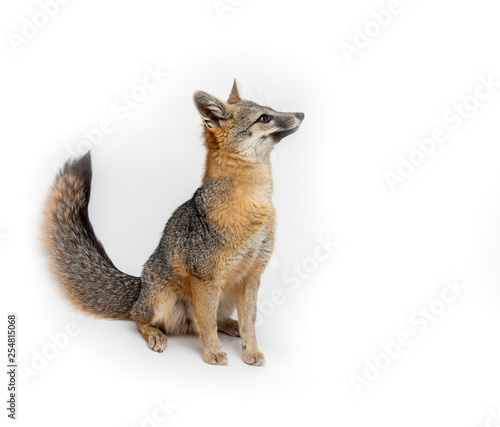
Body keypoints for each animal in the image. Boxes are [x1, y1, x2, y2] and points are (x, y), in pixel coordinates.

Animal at [45, 82, 304, 366]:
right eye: (264, 118)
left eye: (271, 110)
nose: (301, 114)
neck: (255, 202)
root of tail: (140, 286)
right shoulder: (205, 276)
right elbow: (207, 323)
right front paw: (212, 353)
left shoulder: (252, 274)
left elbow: (250, 322)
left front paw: (251, 352)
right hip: (165, 300)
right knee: (143, 320)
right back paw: (156, 335)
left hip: (224, 297)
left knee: (210, 320)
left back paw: (228, 325)